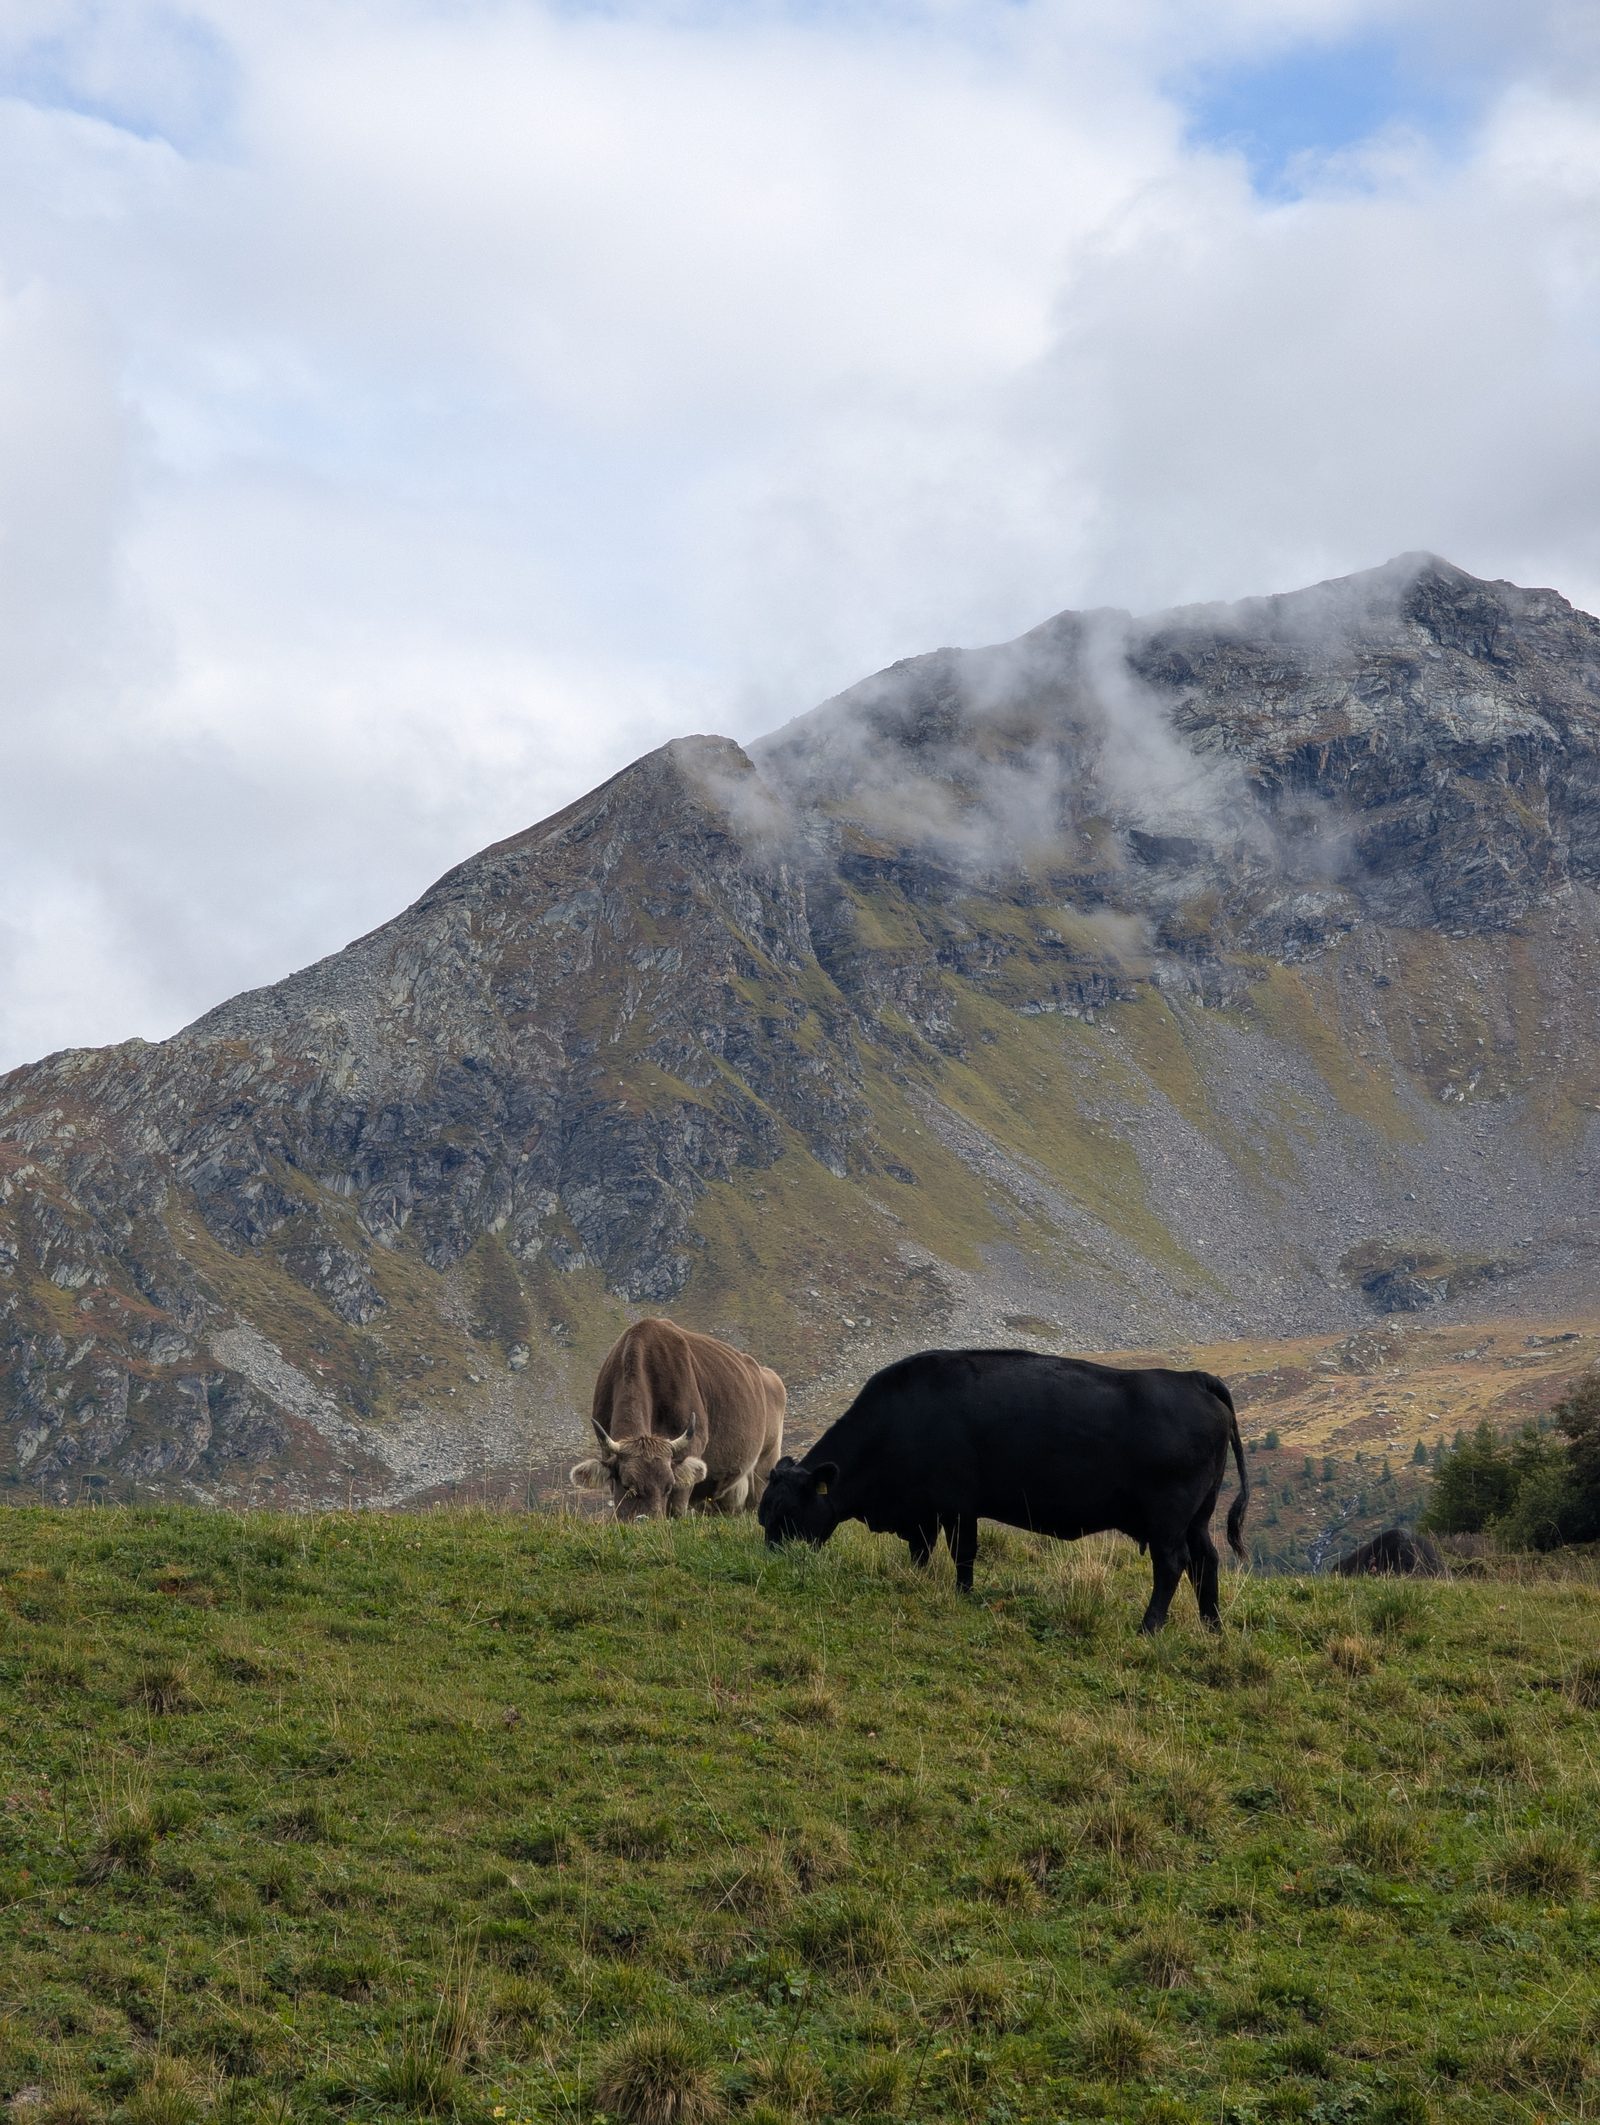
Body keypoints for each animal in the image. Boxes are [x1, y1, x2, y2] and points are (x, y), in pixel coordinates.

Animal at [569, 1317, 786, 1522]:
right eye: (628, 1486)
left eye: (668, 1486)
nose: (649, 1521)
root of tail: (767, 1374)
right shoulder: (607, 1450)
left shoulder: (692, 1445)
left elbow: (677, 1508)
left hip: (766, 1461)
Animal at [757, 1347, 1248, 1632]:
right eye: (763, 1516)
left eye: (788, 1515)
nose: (773, 1561)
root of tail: (1194, 1378)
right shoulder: (923, 1512)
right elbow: (921, 1552)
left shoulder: (956, 1506)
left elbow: (962, 1554)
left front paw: (962, 1595)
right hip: (1197, 1518)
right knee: (1206, 1561)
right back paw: (1212, 1626)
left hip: (1168, 1519)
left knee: (1172, 1565)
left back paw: (1149, 1627)